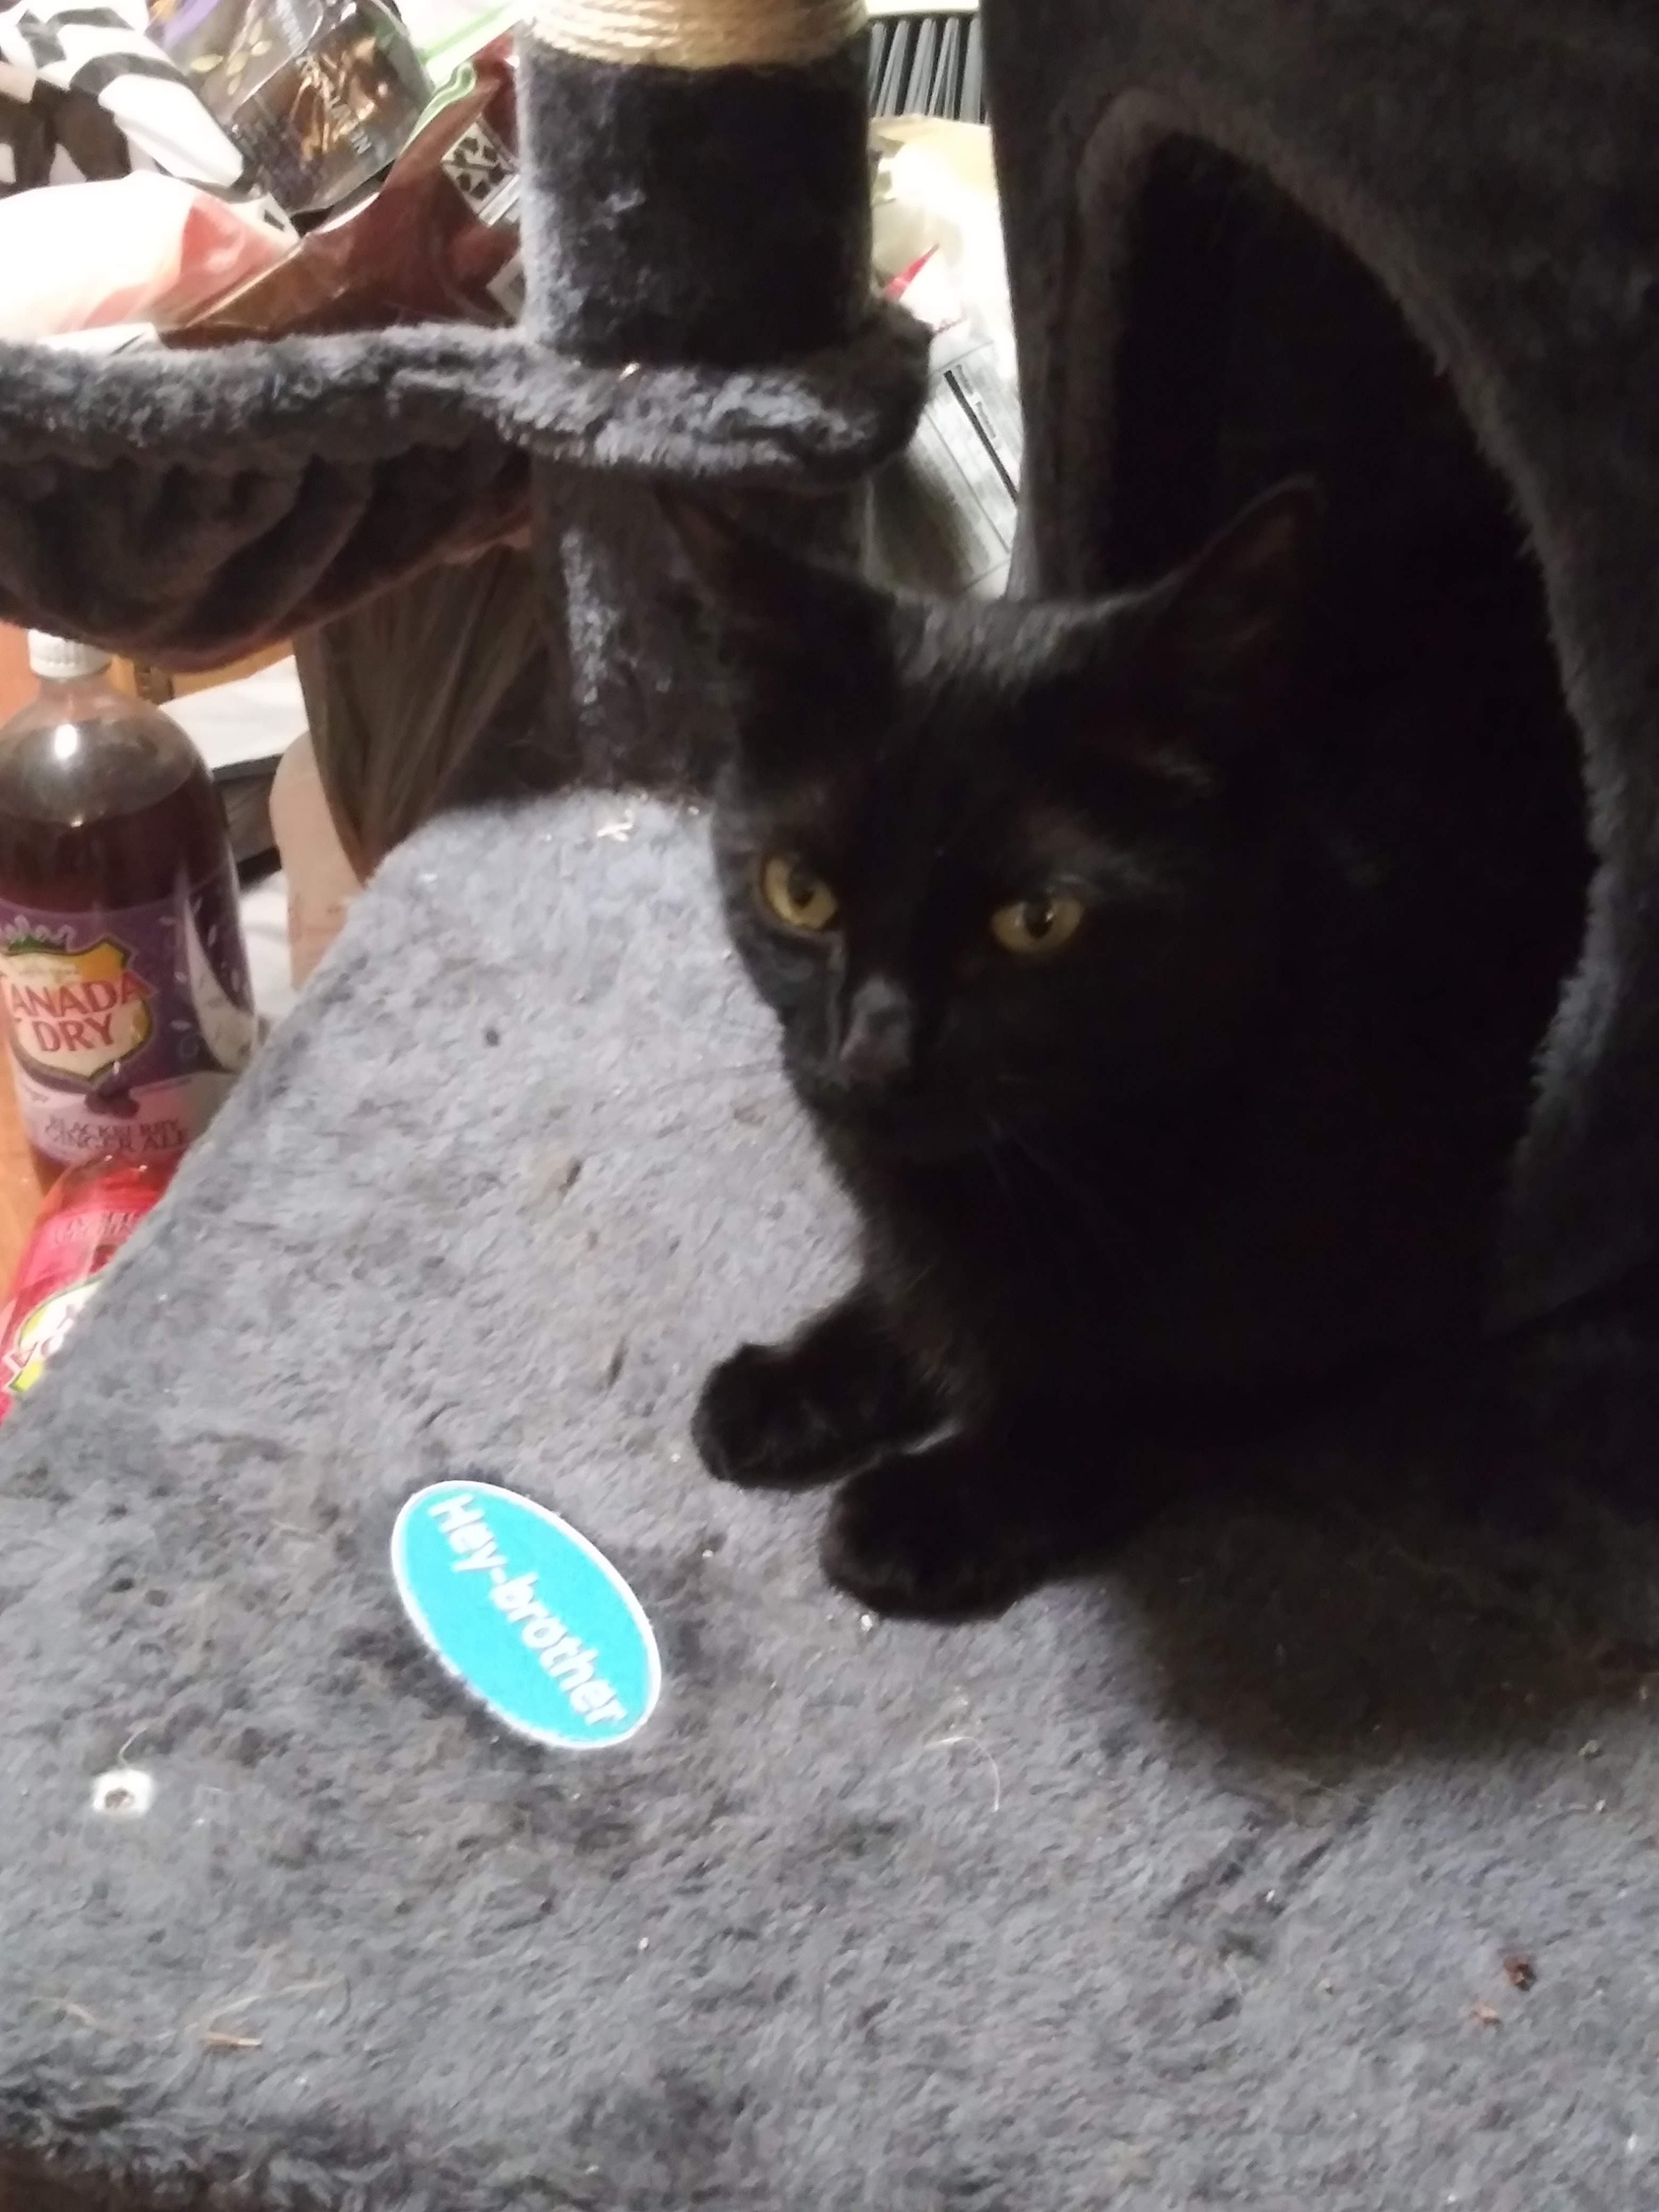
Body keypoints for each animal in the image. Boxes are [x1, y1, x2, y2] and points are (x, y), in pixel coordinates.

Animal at [676, 482, 1588, 1619]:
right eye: (800, 893)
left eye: (1038, 922)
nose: (871, 1057)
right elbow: (909, 1289)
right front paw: (793, 1382)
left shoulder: (1373, 1325)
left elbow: (1131, 1407)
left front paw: (931, 1504)